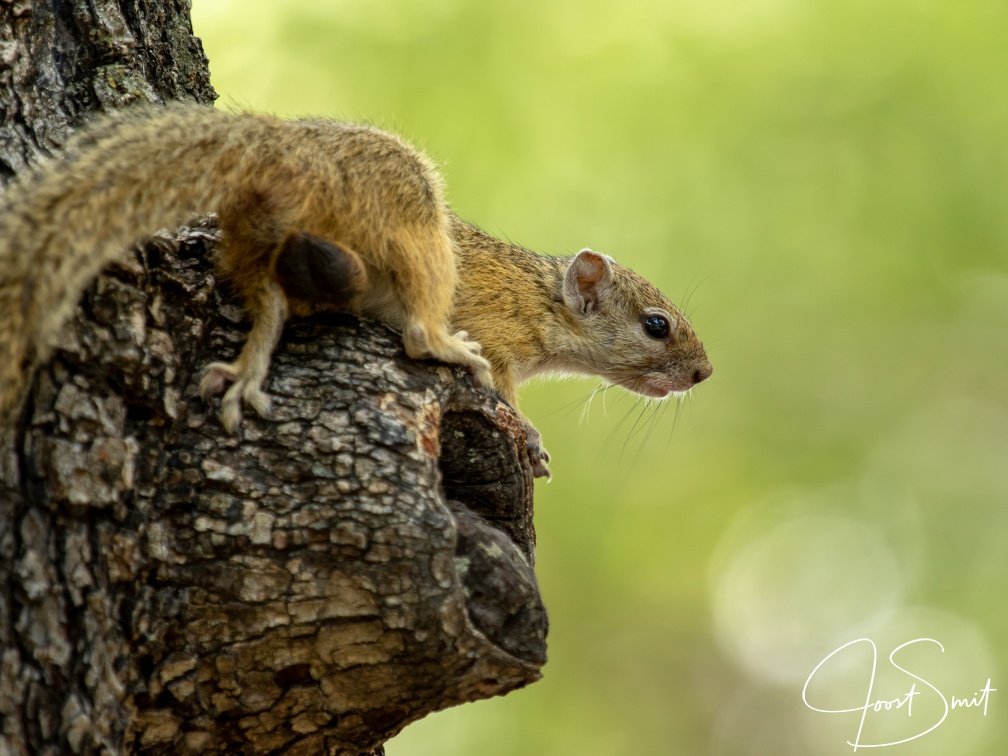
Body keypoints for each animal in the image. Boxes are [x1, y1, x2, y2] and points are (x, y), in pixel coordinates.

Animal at [0, 104, 712, 478]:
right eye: (656, 325)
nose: (704, 373)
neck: (542, 300)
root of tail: (284, 151)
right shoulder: (501, 338)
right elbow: (505, 396)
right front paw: (532, 441)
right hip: (408, 215)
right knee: (419, 331)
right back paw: (443, 346)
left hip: (260, 243)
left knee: (273, 302)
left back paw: (247, 373)